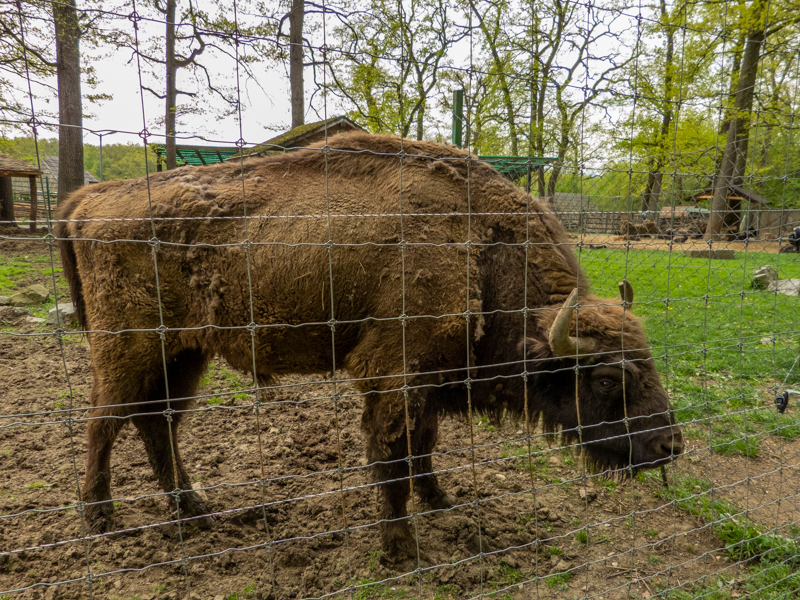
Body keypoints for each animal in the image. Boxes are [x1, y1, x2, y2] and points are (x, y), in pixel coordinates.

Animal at [56, 133, 683, 561]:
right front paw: (400, 546)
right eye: (606, 379)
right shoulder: (393, 375)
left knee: (156, 423)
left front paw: (440, 502)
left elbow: (422, 449)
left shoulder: (429, 380)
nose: (669, 446)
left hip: (185, 354)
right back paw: (101, 520)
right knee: (104, 422)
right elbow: (392, 457)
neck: (483, 250)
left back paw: (195, 512)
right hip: (129, 352)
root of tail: (88, 199)